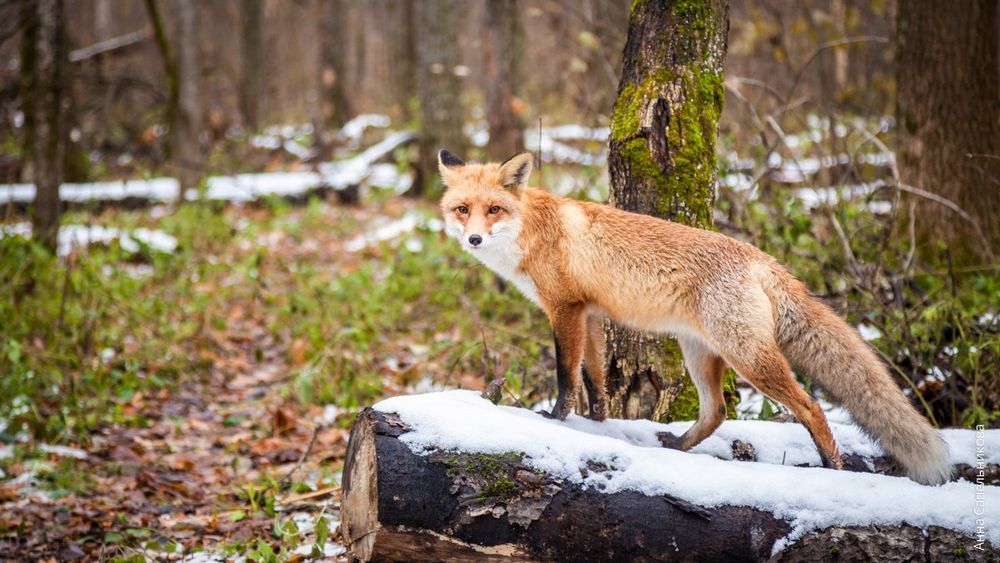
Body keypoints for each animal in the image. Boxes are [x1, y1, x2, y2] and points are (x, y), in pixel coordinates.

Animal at [438, 148, 952, 486]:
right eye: (462, 210)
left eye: (494, 209)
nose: (474, 240)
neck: (532, 232)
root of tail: (762, 258)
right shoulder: (590, 314)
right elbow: (595, 381)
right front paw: (597, 425)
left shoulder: (565, 309)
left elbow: (566, 376)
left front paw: (555, 418)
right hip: (700, 353)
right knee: (717, 411)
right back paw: (678, 449)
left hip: (748, 358)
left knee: (810, 406)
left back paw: (834, 468)